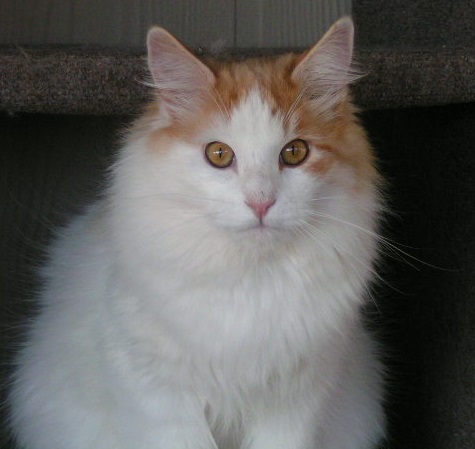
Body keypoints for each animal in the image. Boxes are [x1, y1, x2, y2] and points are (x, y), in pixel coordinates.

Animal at [7, 16, 386, 448]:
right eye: (219, 155)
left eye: (295, 153)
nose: (260, 202)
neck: (250, 280)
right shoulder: (161, 397)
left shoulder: (293, 405)